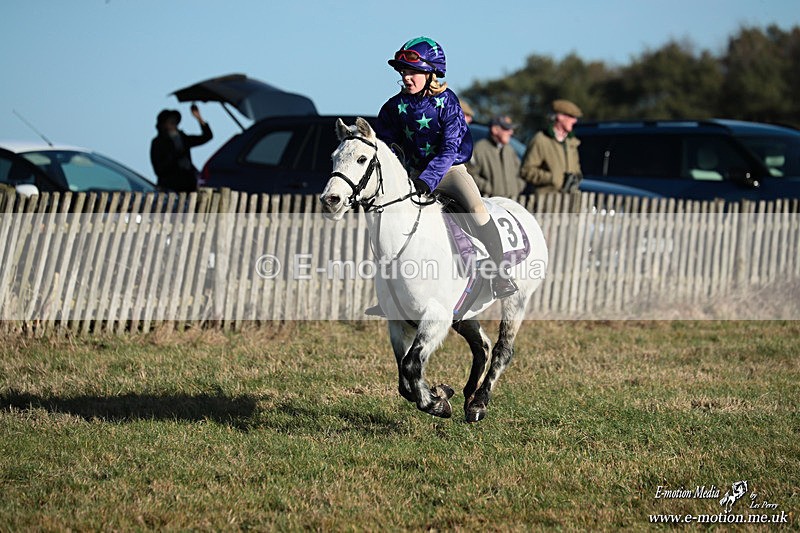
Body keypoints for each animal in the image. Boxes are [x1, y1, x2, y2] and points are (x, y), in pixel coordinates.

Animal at [320, 117, 548, 422]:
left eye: (362, 159)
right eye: (334, 157)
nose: (330, 200)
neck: (403, 243)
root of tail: (522, 212)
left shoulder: (435, 317)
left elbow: (411, 365)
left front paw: (437, 403)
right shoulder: (398, 322)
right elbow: (403, 378)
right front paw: (441, 393)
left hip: (516, 300)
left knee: (502, 350)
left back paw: (479, 402)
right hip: (464, 311)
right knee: (482, 346)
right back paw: (469, 396)